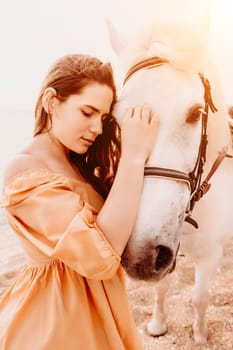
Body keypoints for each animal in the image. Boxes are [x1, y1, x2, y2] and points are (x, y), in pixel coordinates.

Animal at [107, 1, 233, 344]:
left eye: (195, 113)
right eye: (116, 119)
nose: (139, 257)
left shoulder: (210, 254)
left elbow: (200, 296)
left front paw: (200, 335)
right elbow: (161, 289)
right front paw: (157, 325)